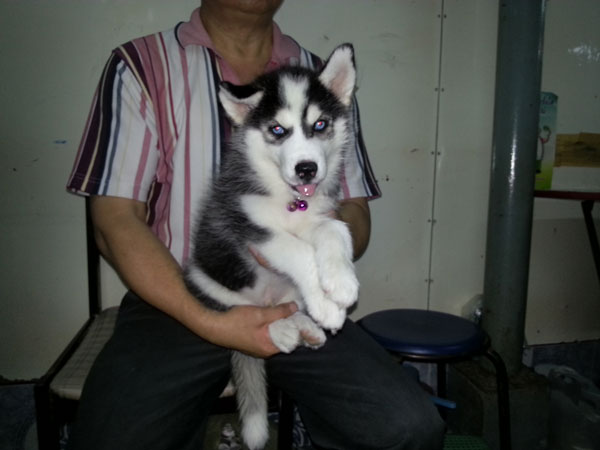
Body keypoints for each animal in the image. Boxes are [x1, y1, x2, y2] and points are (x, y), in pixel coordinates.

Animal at [184, 44, 359, 450]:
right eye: (278, 130)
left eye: (320, 125)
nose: (307, 169)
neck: (289, 200)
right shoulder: (248, 228)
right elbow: (298, 253)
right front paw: (326, 307)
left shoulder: (317, 218)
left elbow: (336, 231)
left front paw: (340, 285)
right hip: (205, 278)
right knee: (243, 312)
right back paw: (281, 331)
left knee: (287, 306)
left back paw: (305, 327)